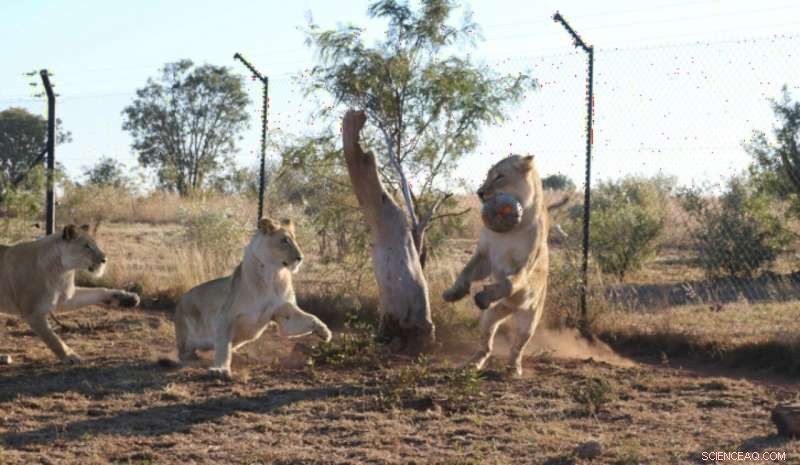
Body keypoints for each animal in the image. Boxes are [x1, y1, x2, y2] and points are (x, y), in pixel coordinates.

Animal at [0, 224, 140, 364]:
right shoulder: (32, 312)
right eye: (87, 246)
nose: (104, 260)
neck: (62, 271)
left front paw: (128, 298)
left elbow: (98, 291)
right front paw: (70, 356)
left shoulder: (65, 299)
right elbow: (52, 338)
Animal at [171, 217, 332, 378]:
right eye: (284, 240)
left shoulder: (284, 313)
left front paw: (324, 332)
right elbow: (223, 347)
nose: (300, 258)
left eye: (294, 239)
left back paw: (242, 357)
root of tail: (180, 301)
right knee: (185, 353)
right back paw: (193, 359)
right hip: (186, 335)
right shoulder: (225, 317)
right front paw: (220, 369)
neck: (273, 275)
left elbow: (310, 318)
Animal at [443, 154, 551, 377]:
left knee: (518, 346)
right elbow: (466, 272)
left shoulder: (524, 266)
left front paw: (484, 296)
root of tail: (510, 307)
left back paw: (513, 368)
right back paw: (471, 365)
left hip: (529, 319)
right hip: (489, 317)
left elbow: (509, 283)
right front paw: (454, 293)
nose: (480, 192)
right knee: (486, 345)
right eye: (488, 175)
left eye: (499, 176)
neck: (510, 230)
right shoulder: (484, 256)